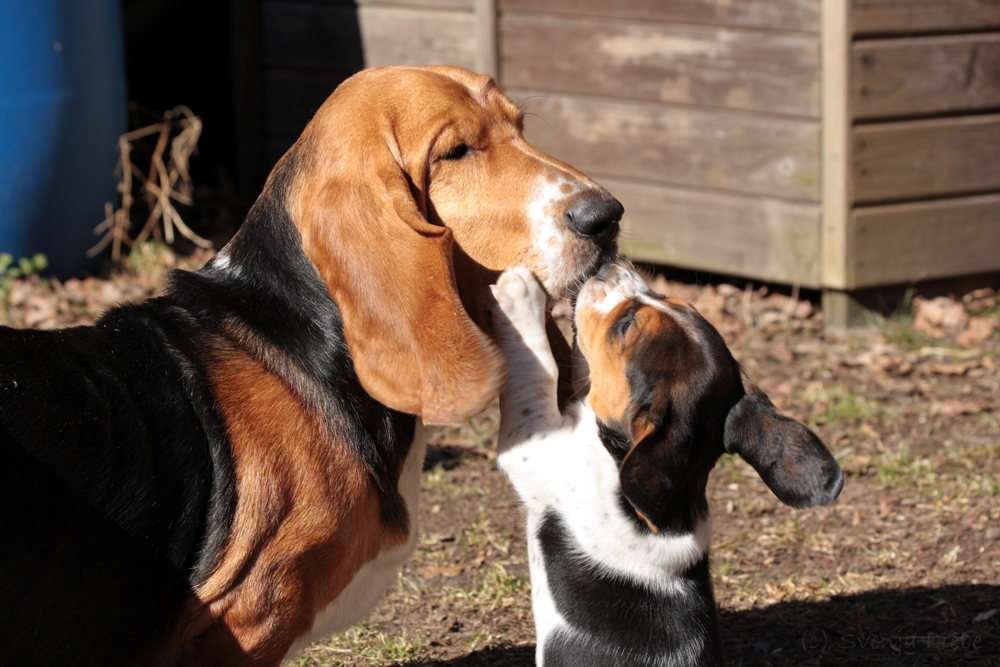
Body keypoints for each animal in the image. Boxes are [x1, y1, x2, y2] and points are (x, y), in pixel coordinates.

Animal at [488, 266, 840, 667]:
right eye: (666, 297)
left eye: (626, 324)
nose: (609, 267)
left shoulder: (536, 447)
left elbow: (537, 369)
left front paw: (519, 293)